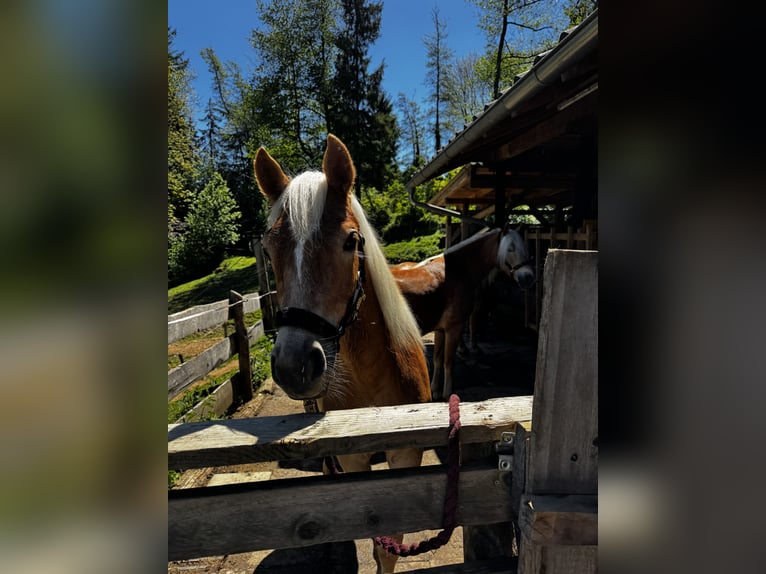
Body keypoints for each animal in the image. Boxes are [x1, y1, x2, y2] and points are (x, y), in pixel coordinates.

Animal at [254, 134, 432, 573]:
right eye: (269, 249)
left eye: (351, 241)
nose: (294, 366)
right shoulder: (354, 461)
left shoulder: (407, 452)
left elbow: (389, 546)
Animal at [390, 224, 534, 400]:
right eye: (510, 249)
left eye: (525, 247)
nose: (528, 277)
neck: (457, 271)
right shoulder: (454, 328)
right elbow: (449, 362)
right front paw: (447, 394)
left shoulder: (440, 330)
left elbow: (438, 359)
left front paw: (435, 391)